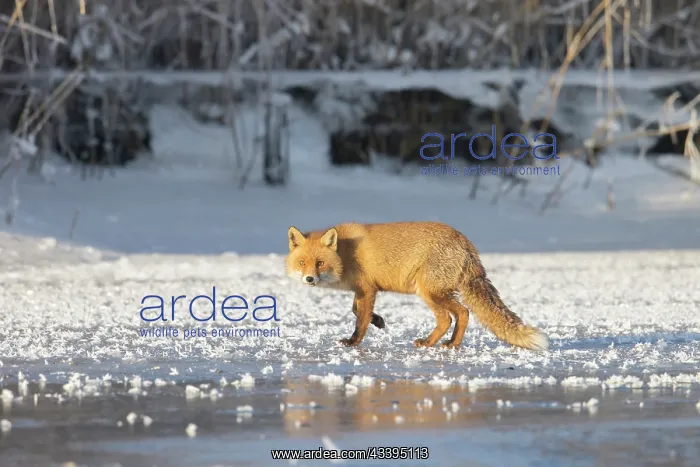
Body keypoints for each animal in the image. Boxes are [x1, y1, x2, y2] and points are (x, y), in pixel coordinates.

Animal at [285, 221, 548, 351]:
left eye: (320, 263)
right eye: (302, 263)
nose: (309, 279)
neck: (345, 252)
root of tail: (465, 242)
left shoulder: (367, 289)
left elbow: (360, 320)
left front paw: (353, 342)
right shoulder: (362, 290)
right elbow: (357, 310)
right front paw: (378, 320)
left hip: (429, 292)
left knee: (455, 315)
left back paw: (435, 343)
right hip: (437, 292)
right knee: (458, 315)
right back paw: (451, 343)